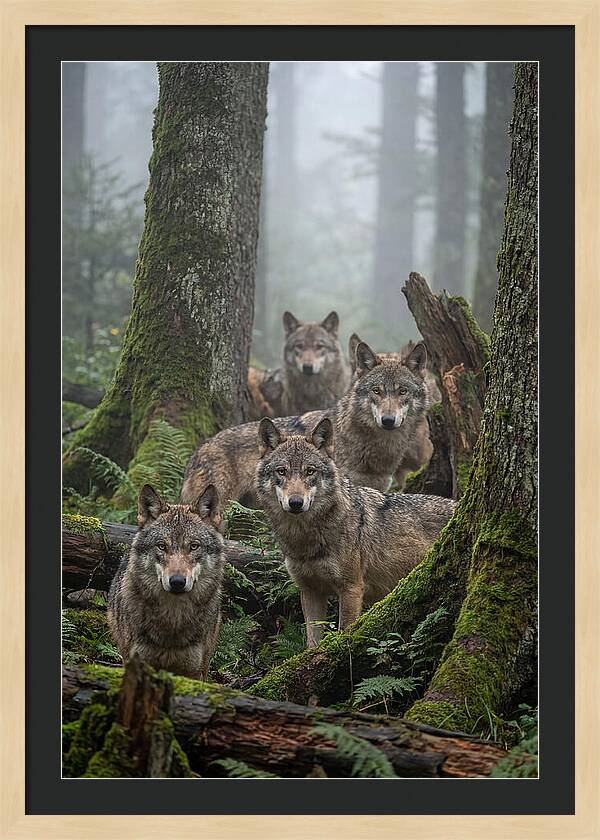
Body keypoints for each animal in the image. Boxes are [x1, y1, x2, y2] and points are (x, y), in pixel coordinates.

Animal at [256, 416, 455, 646]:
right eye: (282, 471)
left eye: (310, 471)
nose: (296, 503)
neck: (305, 538)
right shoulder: (310, 591)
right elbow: (312, 642)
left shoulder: (351, 589)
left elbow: (345, 632)